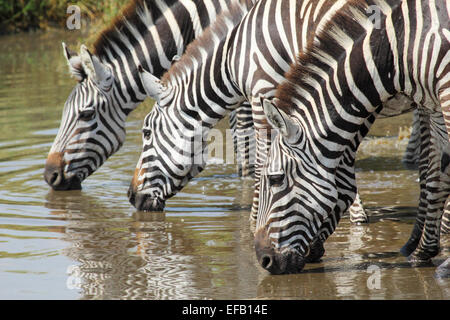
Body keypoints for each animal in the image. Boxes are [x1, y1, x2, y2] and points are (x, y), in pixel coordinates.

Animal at [255, 0, 448, 274]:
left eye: (275, 179)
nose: (264, 261)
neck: (397, 49)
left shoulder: (445, 92)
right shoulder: (433, 101)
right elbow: (435, 175)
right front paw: (421, 249)